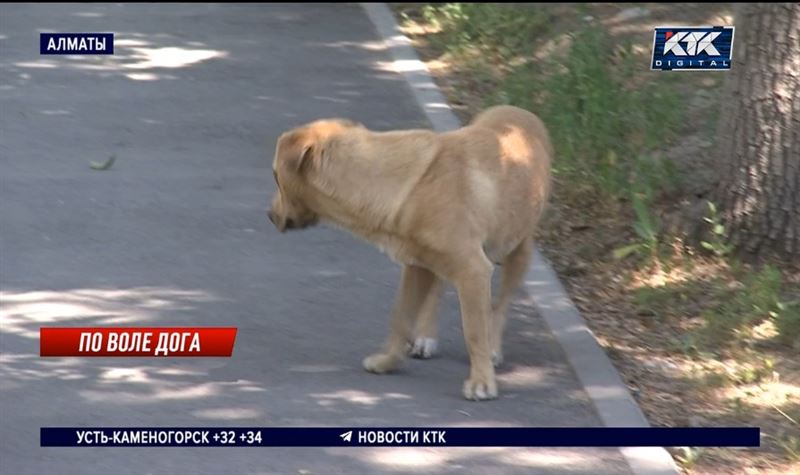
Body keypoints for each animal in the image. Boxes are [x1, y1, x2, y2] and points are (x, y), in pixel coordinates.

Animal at [268, 105, 552, 402]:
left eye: (276, 177)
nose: (269, 215)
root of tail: (521, 112)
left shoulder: (473, 270)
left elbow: (474, 332)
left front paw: (482, 381)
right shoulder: (416, 266)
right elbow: (401, 317)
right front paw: (388, 361)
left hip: (520, 250)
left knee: (502, 303)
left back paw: (493, 346)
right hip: (436, 262)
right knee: (437, 290)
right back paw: (426, 337)